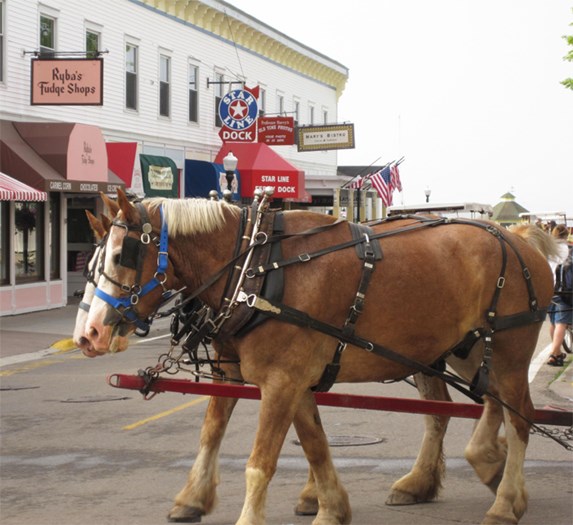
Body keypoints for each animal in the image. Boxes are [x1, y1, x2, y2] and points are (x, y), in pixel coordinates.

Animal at [77, 191, 556, 524]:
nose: (89, 333)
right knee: (464, 408)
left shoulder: (283, 380)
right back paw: (452, 473)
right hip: (458, 350)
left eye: (122, 255)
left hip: (507, 351)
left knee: (519, 417)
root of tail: (519, 238)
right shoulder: (268, 375)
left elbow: (261, 462)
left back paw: (504, 499)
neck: (255, 267)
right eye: (91, 261)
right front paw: (329, 506)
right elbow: (294, 442)